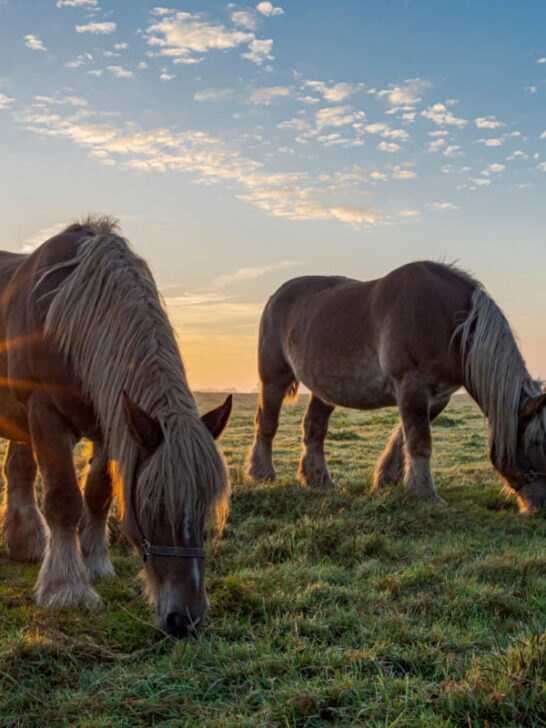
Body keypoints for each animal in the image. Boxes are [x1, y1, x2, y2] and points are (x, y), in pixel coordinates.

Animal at [0, 218, 232, 636]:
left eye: (205, 506)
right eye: (154, 505)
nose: (186, 619)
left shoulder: (112, 424)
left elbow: (98, 495)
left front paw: (95, 564)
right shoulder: (46, 416)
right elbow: (63, 501)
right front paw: (67, 588)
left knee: (20, 472)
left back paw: (26, 542)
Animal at [244, 262, 544, 512]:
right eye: (537, 442)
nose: (540, 507)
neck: (449, 320)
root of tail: (276, 295)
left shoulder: (436, 397)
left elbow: (403, 439)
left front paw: (387, 481)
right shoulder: (412, 387)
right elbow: (419, 442)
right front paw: (426, 495)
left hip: (323, 390)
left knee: (314, 429)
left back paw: (318, 481)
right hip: (273, 378)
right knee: (267, 424)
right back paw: (262, 474)